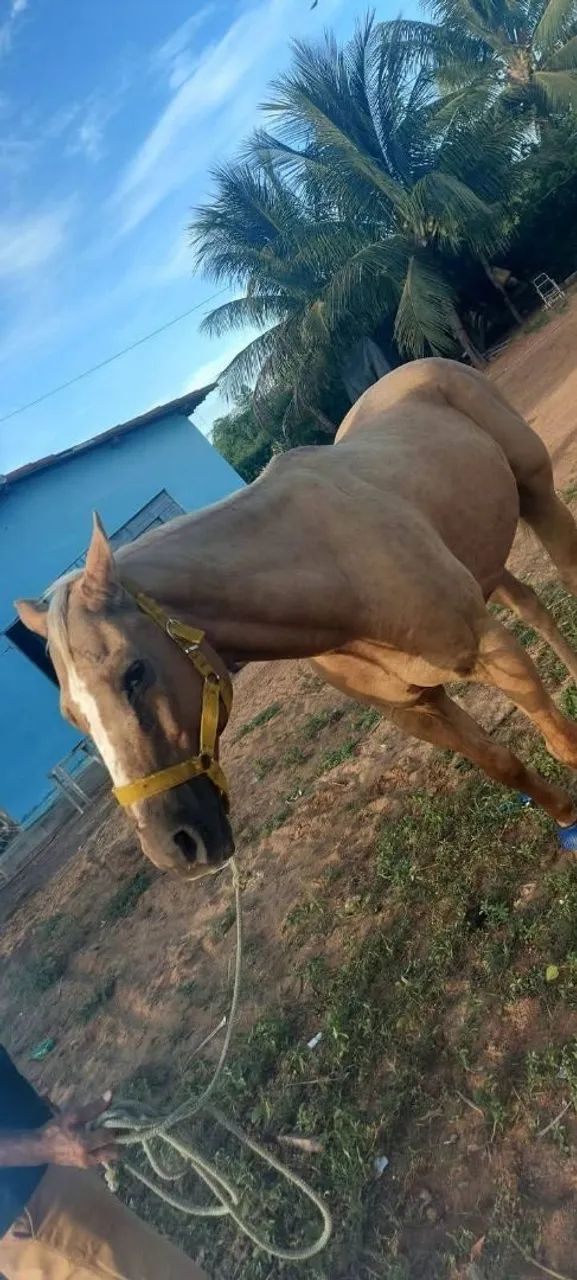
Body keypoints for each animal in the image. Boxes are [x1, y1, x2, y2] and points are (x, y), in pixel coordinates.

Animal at [16, 357, 577, 880]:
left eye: (135, 672)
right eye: (72, 716)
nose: (174, 848)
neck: (336, 573)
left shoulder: (491, 649)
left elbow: (561, 742)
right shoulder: (418, 710)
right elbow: (506, 766)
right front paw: (567, 819)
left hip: (537, 495)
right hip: (483, 556)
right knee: (530, 603)